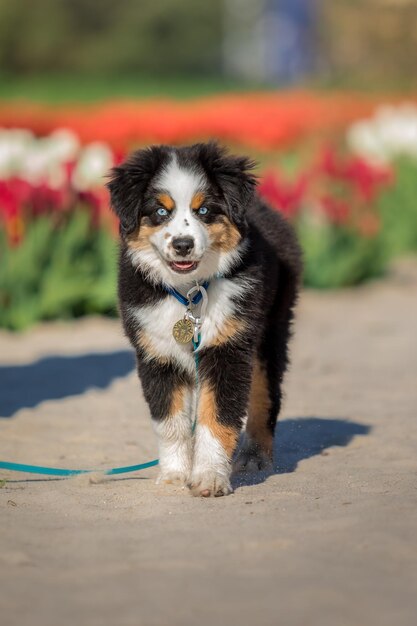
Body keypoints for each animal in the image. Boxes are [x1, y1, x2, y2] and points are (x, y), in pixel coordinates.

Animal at [107, 143, 300, 498]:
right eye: (160, 212)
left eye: (205, 210)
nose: (183, 245)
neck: (190, 293)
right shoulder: (157, 354)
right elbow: (170, 423)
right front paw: (173, 475)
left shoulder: (228, 348)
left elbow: (217, 419)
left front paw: (209, 478)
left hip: (271, 328)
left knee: (266, 394)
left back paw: (254, 455)